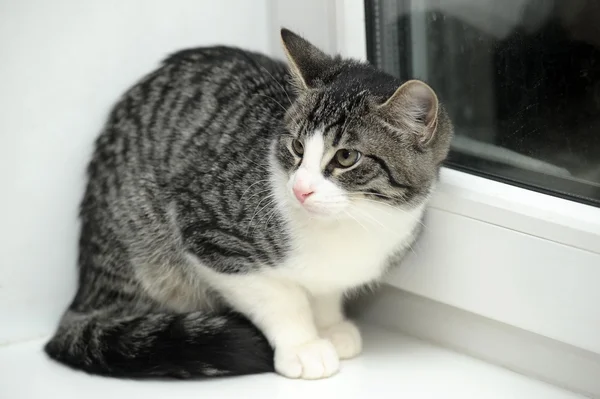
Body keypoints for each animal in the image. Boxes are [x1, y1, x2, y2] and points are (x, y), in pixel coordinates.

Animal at [45, 28, 450, 382]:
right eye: (297, 147)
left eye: (346, 157)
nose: (300, 189)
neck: (351, 223)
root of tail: (88, 289)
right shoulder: (209, 232)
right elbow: (278, 298)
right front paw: (304, 345)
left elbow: (324, 290)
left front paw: (330, 324)